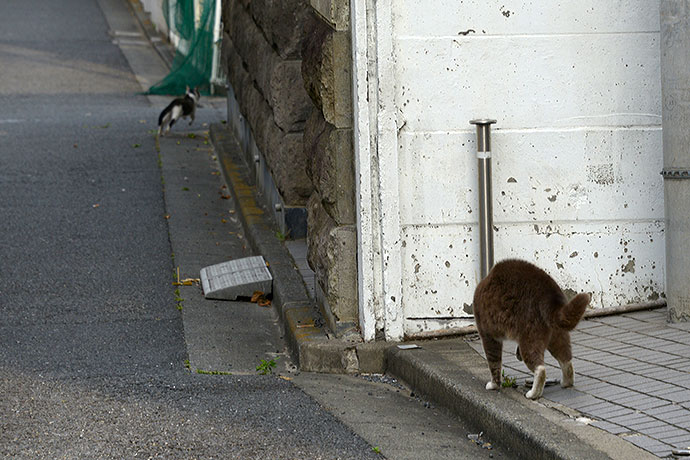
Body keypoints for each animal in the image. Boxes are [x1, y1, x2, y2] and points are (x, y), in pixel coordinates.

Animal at [472, 258, 592, 398]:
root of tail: (549, 295)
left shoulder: (487, 334)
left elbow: (494, 362)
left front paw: (494, 385)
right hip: (556, 333)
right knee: (566, 360)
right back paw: (566, 382)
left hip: (530, 333)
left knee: (540, 368)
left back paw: (533, 393)